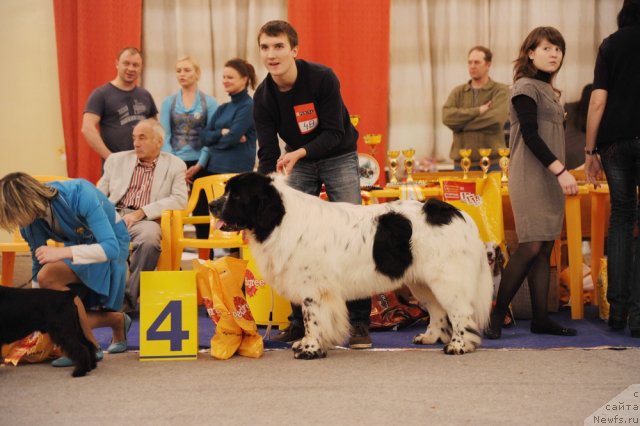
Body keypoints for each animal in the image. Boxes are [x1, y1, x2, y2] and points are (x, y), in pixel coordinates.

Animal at [212, 171, 492, 358]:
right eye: (226, 191)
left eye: (237, 195)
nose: (213, 205)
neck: (280, 218)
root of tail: (458, 214)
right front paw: (306, 344)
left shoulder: (314, 288)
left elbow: (312, 318)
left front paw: (310, 349)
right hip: (421, 282)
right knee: (436, 310)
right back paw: (429, 337)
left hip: (447, 279)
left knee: (460, 312)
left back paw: (459, 345)